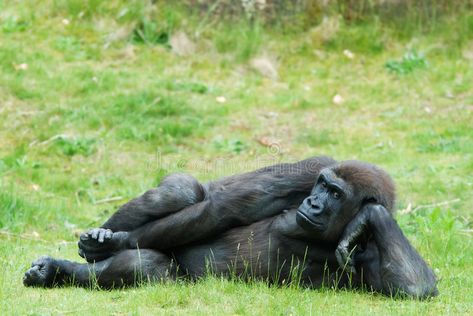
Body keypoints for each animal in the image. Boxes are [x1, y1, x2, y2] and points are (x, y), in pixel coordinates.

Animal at [21, 157, 436, 298]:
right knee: (186, 192)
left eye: (336, 194)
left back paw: (57, 271)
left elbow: (417, 288)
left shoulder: (367, 254)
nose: (314, 203)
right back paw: (73, 260)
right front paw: (109, 242)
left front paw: (369, 216)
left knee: (150, 267)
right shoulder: (312, 168)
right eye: (323, 185)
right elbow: (218, 209)